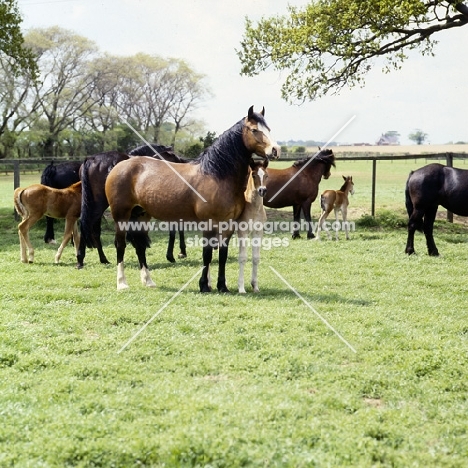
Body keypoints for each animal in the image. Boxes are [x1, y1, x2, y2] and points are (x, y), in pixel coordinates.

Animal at [104, 105, 280, 292]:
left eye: (268, 128)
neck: (217, 176)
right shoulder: (210, 223)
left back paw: (148, 281)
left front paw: (222, 286)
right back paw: (122, 283)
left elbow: (222, 254)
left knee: (140, 246)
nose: (276, 150)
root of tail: (120, 165)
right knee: (120, 244)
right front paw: (204, 285)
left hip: (141, 215)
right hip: (121, 215)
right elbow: (207, 253)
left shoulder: (229, 225)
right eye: (254, 130)